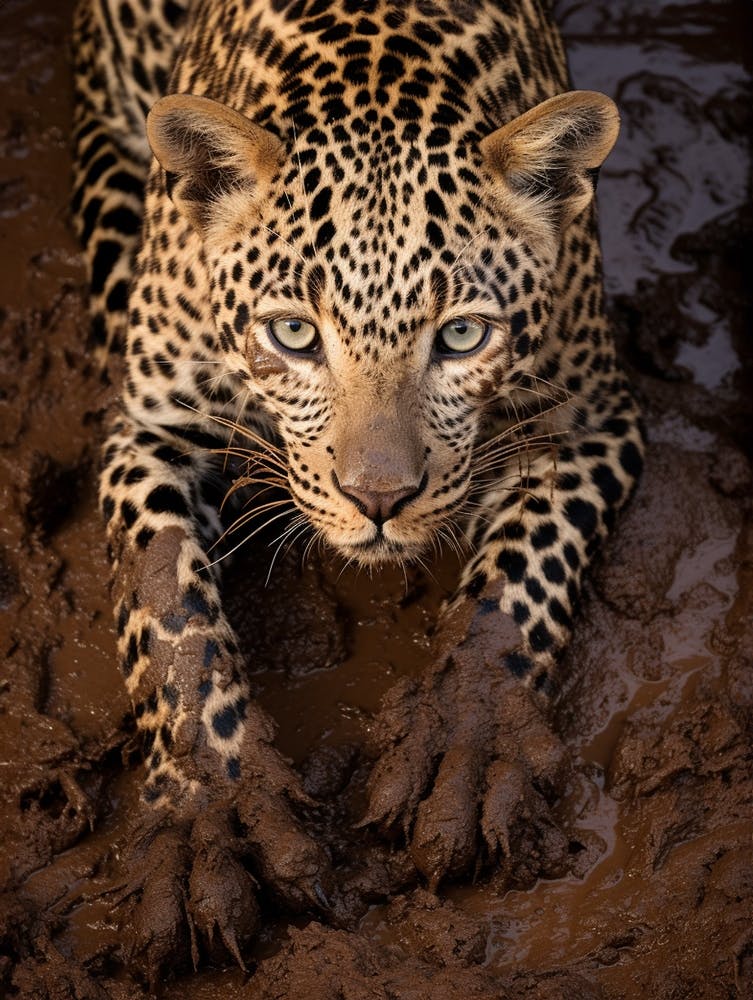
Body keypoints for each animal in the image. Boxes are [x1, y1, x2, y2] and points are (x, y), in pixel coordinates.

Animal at [72, 0, 644, 977]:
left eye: (461, 336)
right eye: (295, 333)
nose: (378, 498)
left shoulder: (593, 415)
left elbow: (522, 574)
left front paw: (467, 736)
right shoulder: (148, 428)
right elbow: (167, 609)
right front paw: (206, 808)